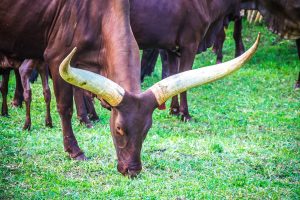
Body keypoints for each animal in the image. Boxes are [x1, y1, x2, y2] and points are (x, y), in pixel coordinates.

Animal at [0, 0, 258, 176]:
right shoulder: (56, 58)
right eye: (119, 129)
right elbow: (65, 107)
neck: (95, 11)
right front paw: (75, 151)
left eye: (147, 130)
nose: (132, 170)